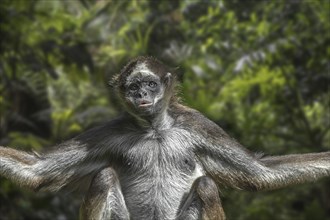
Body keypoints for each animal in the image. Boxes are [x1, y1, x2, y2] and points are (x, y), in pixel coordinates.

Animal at [0, 55, 330, 219]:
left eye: (150, 84)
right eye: (133, 87)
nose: (142, 95)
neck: (155, 131)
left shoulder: (196, 124)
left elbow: (261, 174)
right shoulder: (113, 130)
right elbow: (36, 172)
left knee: (206, 185)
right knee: (104, 177)